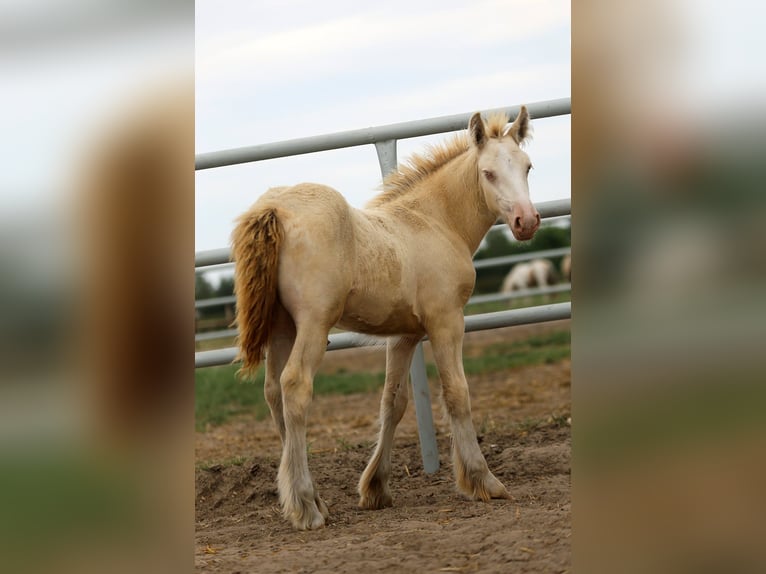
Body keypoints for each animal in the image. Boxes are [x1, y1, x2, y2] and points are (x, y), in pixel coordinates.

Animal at [232, 107, 540, 532]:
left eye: (527, 166)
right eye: (489, 173)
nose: (527, 221)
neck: (435, 221)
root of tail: (275, 208)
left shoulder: (404, 336)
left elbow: (393, 403)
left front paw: (375, 488)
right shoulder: (446, 321)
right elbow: (457, 393)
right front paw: (483, 480)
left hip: (282, 327)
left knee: (273, 392)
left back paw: (314, 498)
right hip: (313, 323)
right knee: (295, 386)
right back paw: (307, 506)